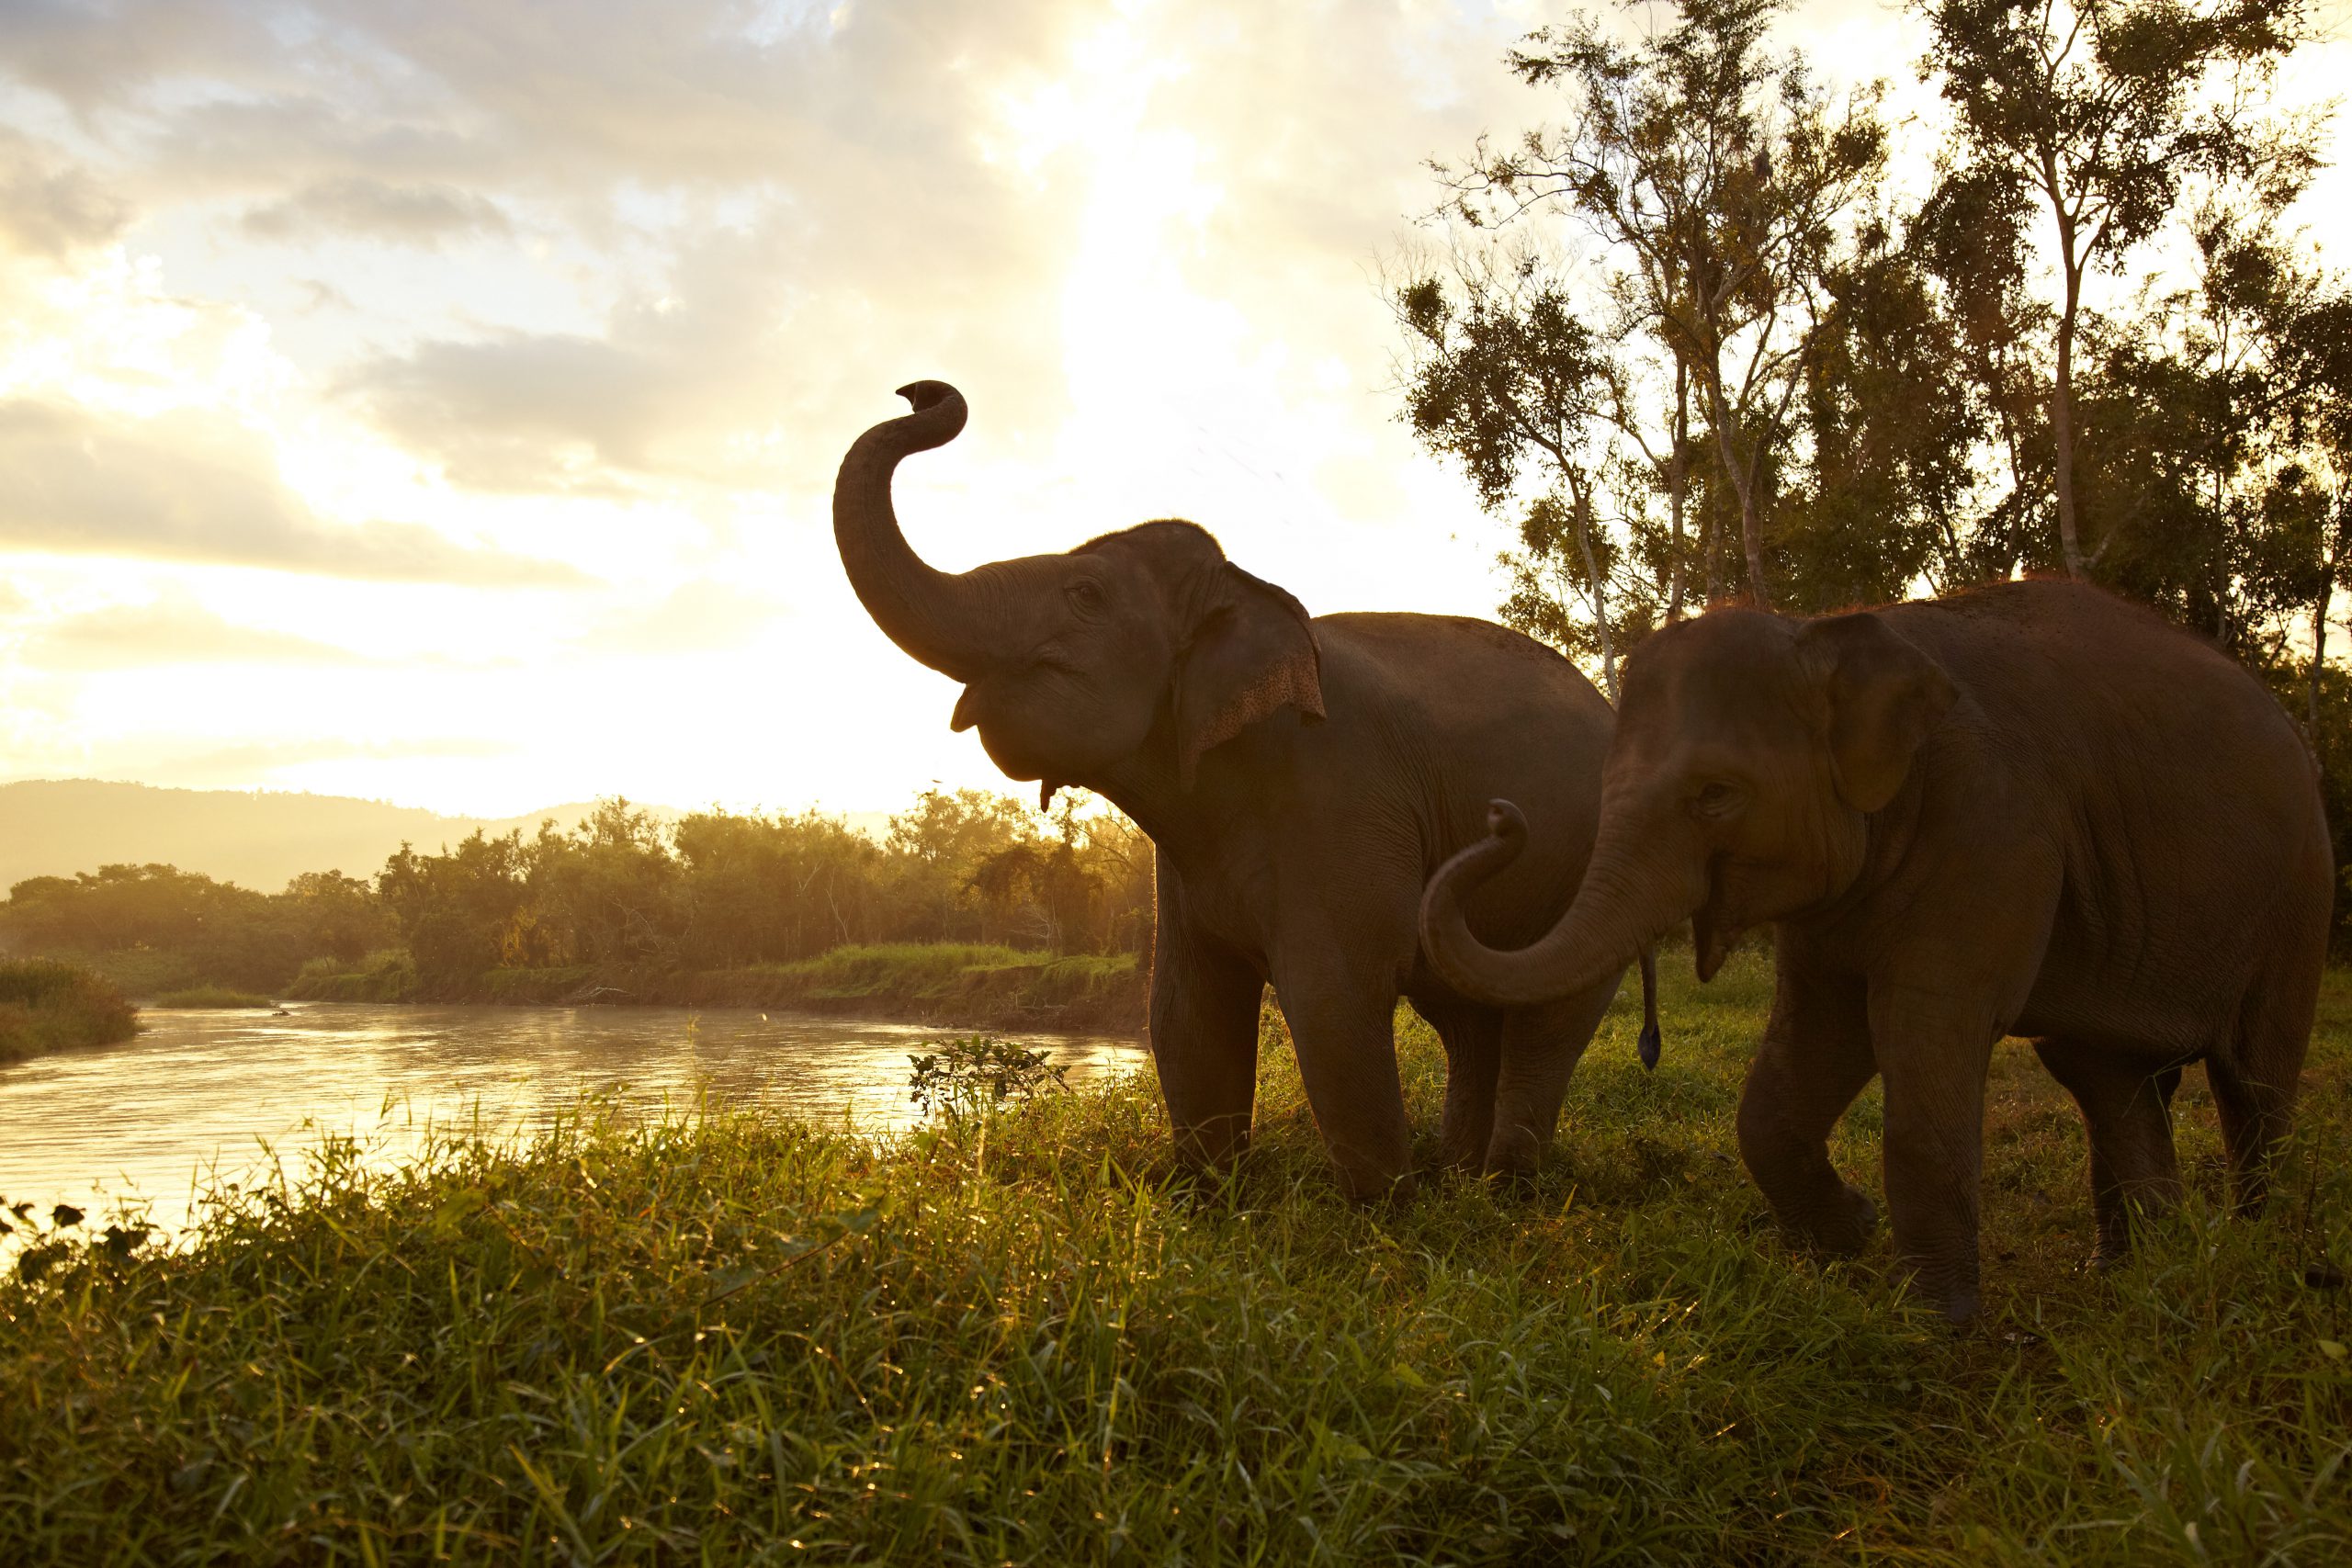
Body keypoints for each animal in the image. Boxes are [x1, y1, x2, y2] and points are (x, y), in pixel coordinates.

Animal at [837, 380, 1665, 1203]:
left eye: (1085, 592)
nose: (919, 391)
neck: (1247, 590)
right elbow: (1185, 1008)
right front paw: (1207, 1197)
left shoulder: (1338, 797)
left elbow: (1331, 995)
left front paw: (1382, 1208)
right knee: (1469, 1018)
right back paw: (1461, 1178)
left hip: (1591, 871)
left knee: (1544, 1017)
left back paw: (1503, 1188)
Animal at [1411, 581, 2333, 1325]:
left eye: (1716, 794)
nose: (1501, 816)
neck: (1825, 630)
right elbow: (1810, 1043)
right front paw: (1850, 1237)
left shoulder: (1993, 826)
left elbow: (1920, 1028)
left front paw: (1937, 1326)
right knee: (2105, 1075)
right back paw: (2134, 1273)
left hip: (2297, 898)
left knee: (2253, 1079)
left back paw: (2261, 1260)